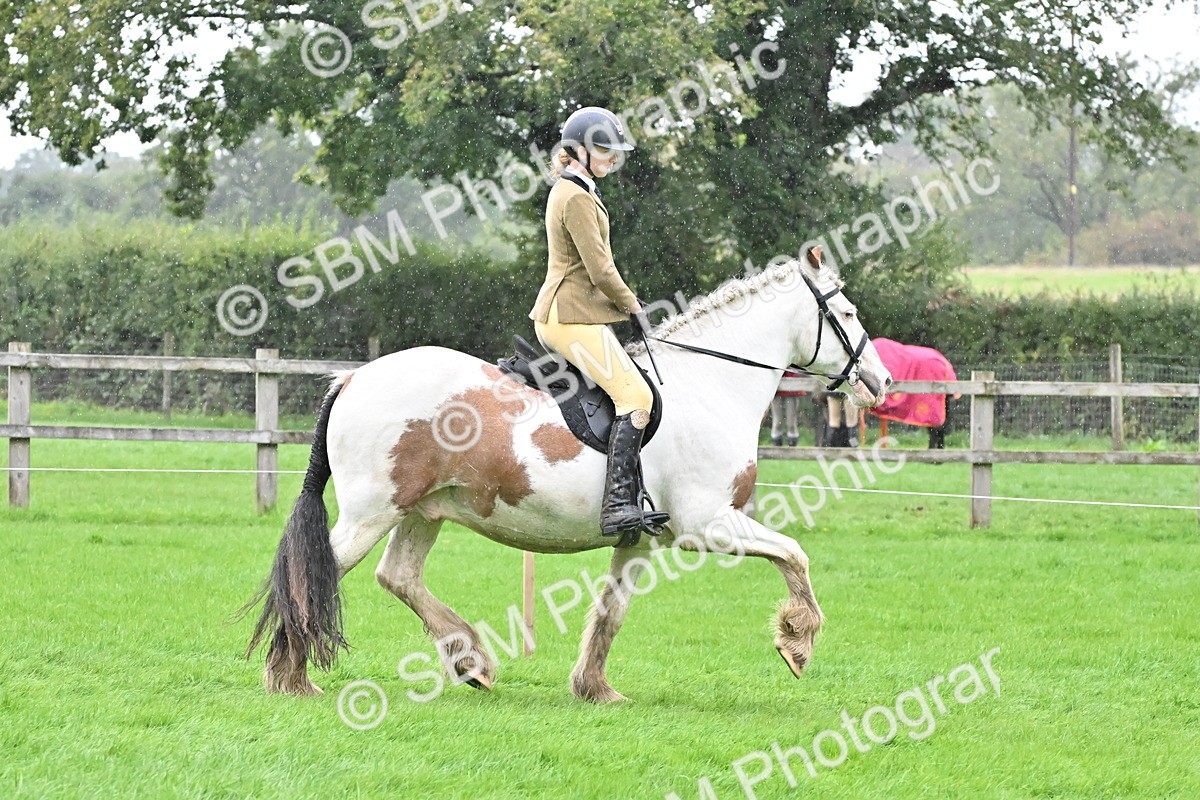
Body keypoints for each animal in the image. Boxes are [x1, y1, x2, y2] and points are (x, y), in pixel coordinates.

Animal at [245, 246, 893, 703]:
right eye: (847, 312)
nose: (882, 381)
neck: (711, 383)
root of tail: (355, 376)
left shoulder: (642, 537)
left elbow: (611, 610)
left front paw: (594, 689)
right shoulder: (708, 524)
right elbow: (794, 554)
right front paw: (797, 642)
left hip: (423, 509)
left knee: (398, 576)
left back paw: (470, 661)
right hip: (372, 511)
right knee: (315, 573)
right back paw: (291, 678)